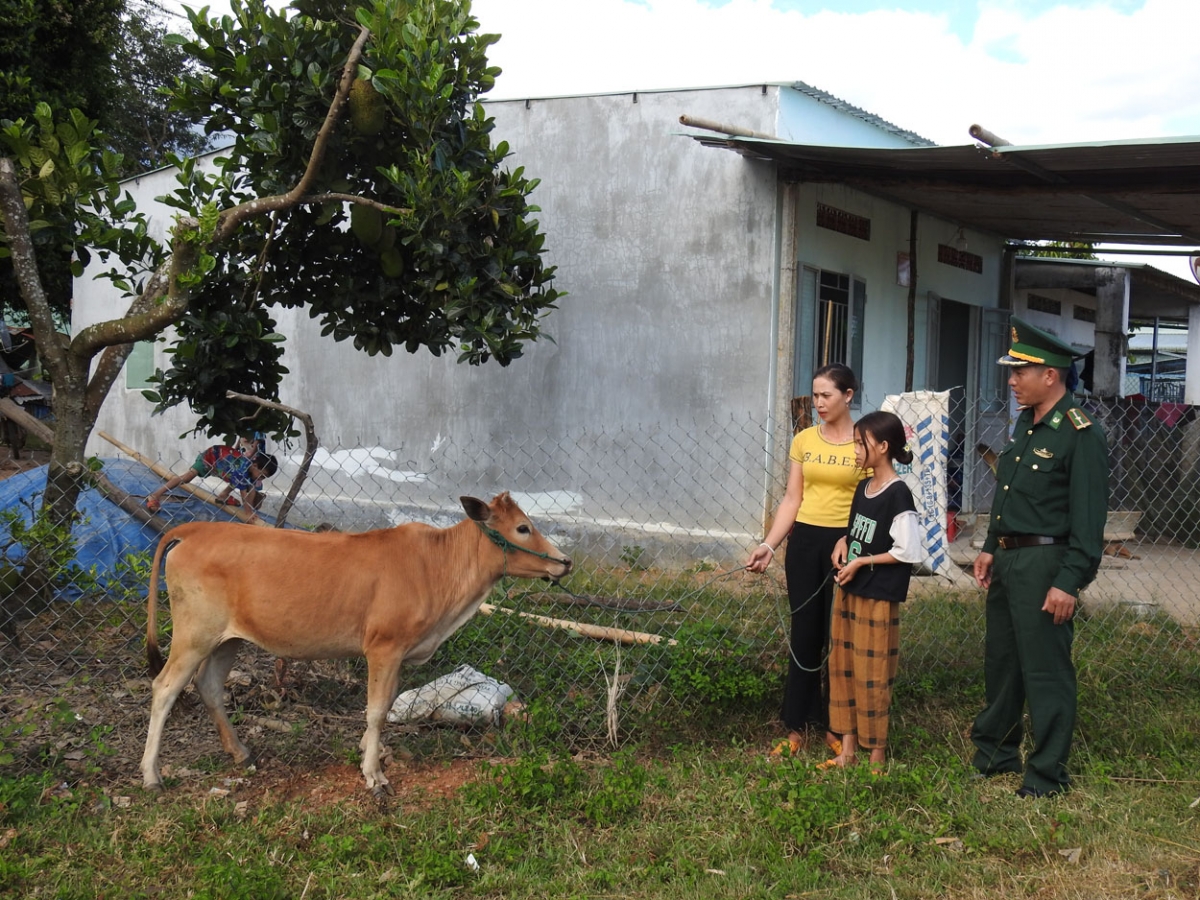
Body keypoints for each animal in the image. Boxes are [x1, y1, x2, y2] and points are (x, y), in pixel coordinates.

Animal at [140, 494, 571, 796]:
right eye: (522, 528)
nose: (564, 562)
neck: (437, 566)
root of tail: (196, 529)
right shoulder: (384, 647)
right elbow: (377, 710)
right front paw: (373, 775)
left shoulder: (397, 653)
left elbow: (386, 703)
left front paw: (371, 753)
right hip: (194, 634)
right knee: (165, 687)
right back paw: (151, 775)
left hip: (227, 639)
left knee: (209, 685)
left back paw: (241, 753)